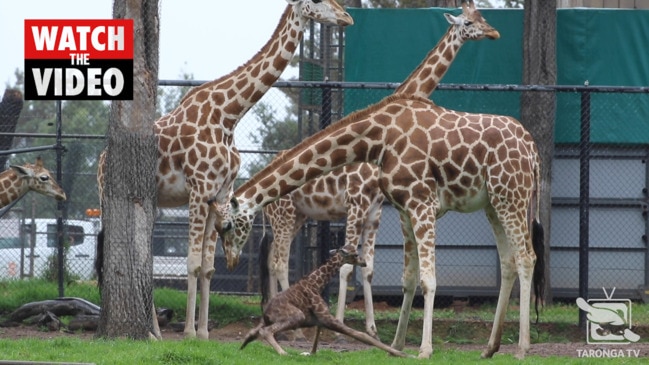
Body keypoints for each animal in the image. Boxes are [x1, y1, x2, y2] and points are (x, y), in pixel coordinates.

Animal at [95, 1, 354, 340]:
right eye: (320, 2)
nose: (347, 17)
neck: (229, 114)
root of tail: (101, 160)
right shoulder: (199, 187)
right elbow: (192, 262)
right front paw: (189, 333)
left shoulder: (218, 194)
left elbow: (208, 267)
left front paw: (204, 333)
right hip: (107, 196)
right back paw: (150, 332)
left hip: (150, 200)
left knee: (144, 259)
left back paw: (156, 332)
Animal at [240, 243, 408, 356]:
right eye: (354, 254)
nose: (363, 262)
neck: (317, 283)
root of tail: (266, 312)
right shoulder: (327, 318)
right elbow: (362, 335)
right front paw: (403, 354)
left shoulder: (319, 319)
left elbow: (317, 336)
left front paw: (311, 354)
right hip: (296, 315)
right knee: (265, 331)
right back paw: (283, 352)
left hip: (268, 320)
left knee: (253, 331)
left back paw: (243, 345)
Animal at [260, 0, 498, 342]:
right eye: (468, 23)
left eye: (482, 17)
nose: (493, 32)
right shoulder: (357, 202)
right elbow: (347, 266)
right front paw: (341, 326)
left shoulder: (375, 208)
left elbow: (368, 268)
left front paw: (372, 329)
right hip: (285, 215)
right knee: (279, 261)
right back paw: (297, 333)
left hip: (297, 217)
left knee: (270, 260)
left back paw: (271, 315)